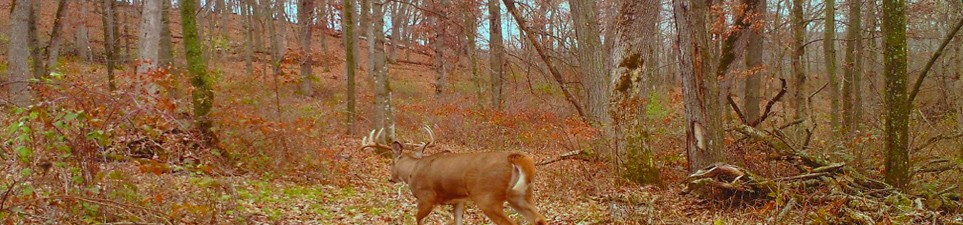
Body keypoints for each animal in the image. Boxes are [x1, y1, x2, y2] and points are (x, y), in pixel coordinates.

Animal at [360, 126, 548, 225]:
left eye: (391, 162)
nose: (391, 178)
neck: (412, 171)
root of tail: (513, 158)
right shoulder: (458, 201)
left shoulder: (426, 197)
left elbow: (418, 220)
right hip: (520, 195)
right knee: (538, 218)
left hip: (487, 197)